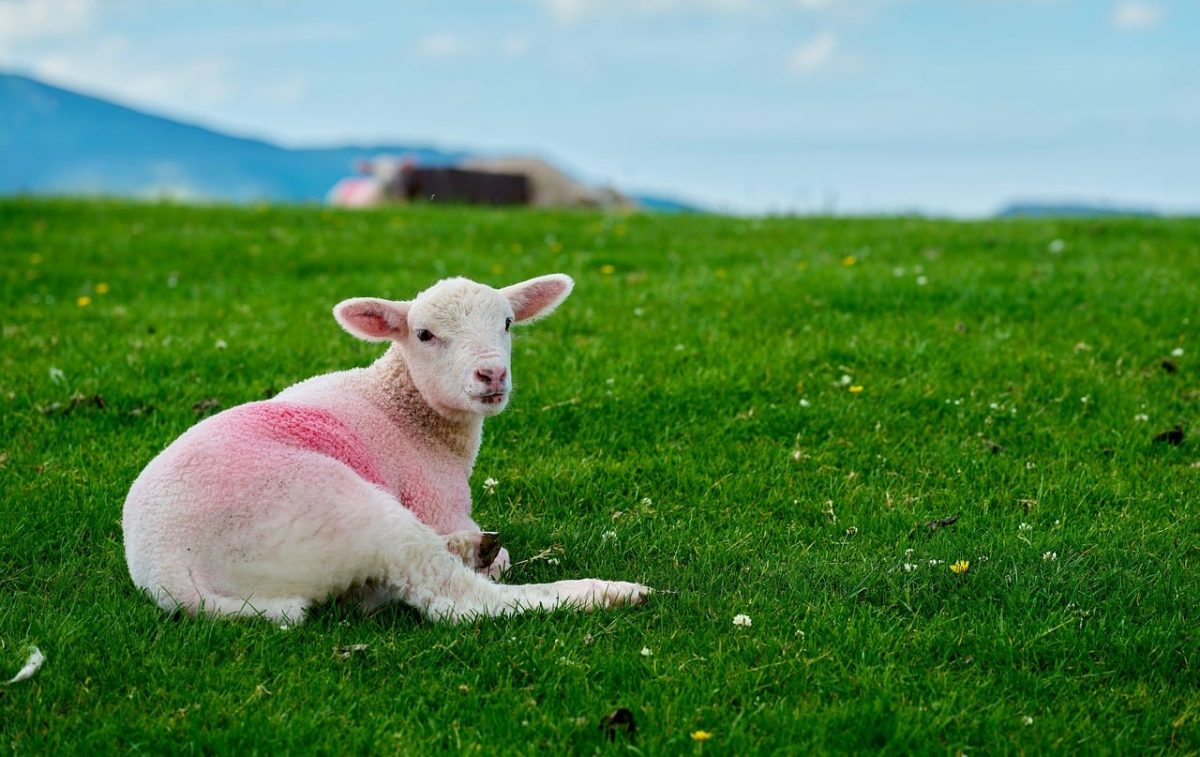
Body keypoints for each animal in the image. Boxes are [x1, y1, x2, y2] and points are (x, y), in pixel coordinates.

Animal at [122, 274, 649, 624]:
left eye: (507, 322)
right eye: (425, 334)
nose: (492, 375)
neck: (405, 407)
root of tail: (170, 570)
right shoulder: (437, 499)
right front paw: (490, 555)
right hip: (339, 508)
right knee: (458, 601)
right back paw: (609, 592)